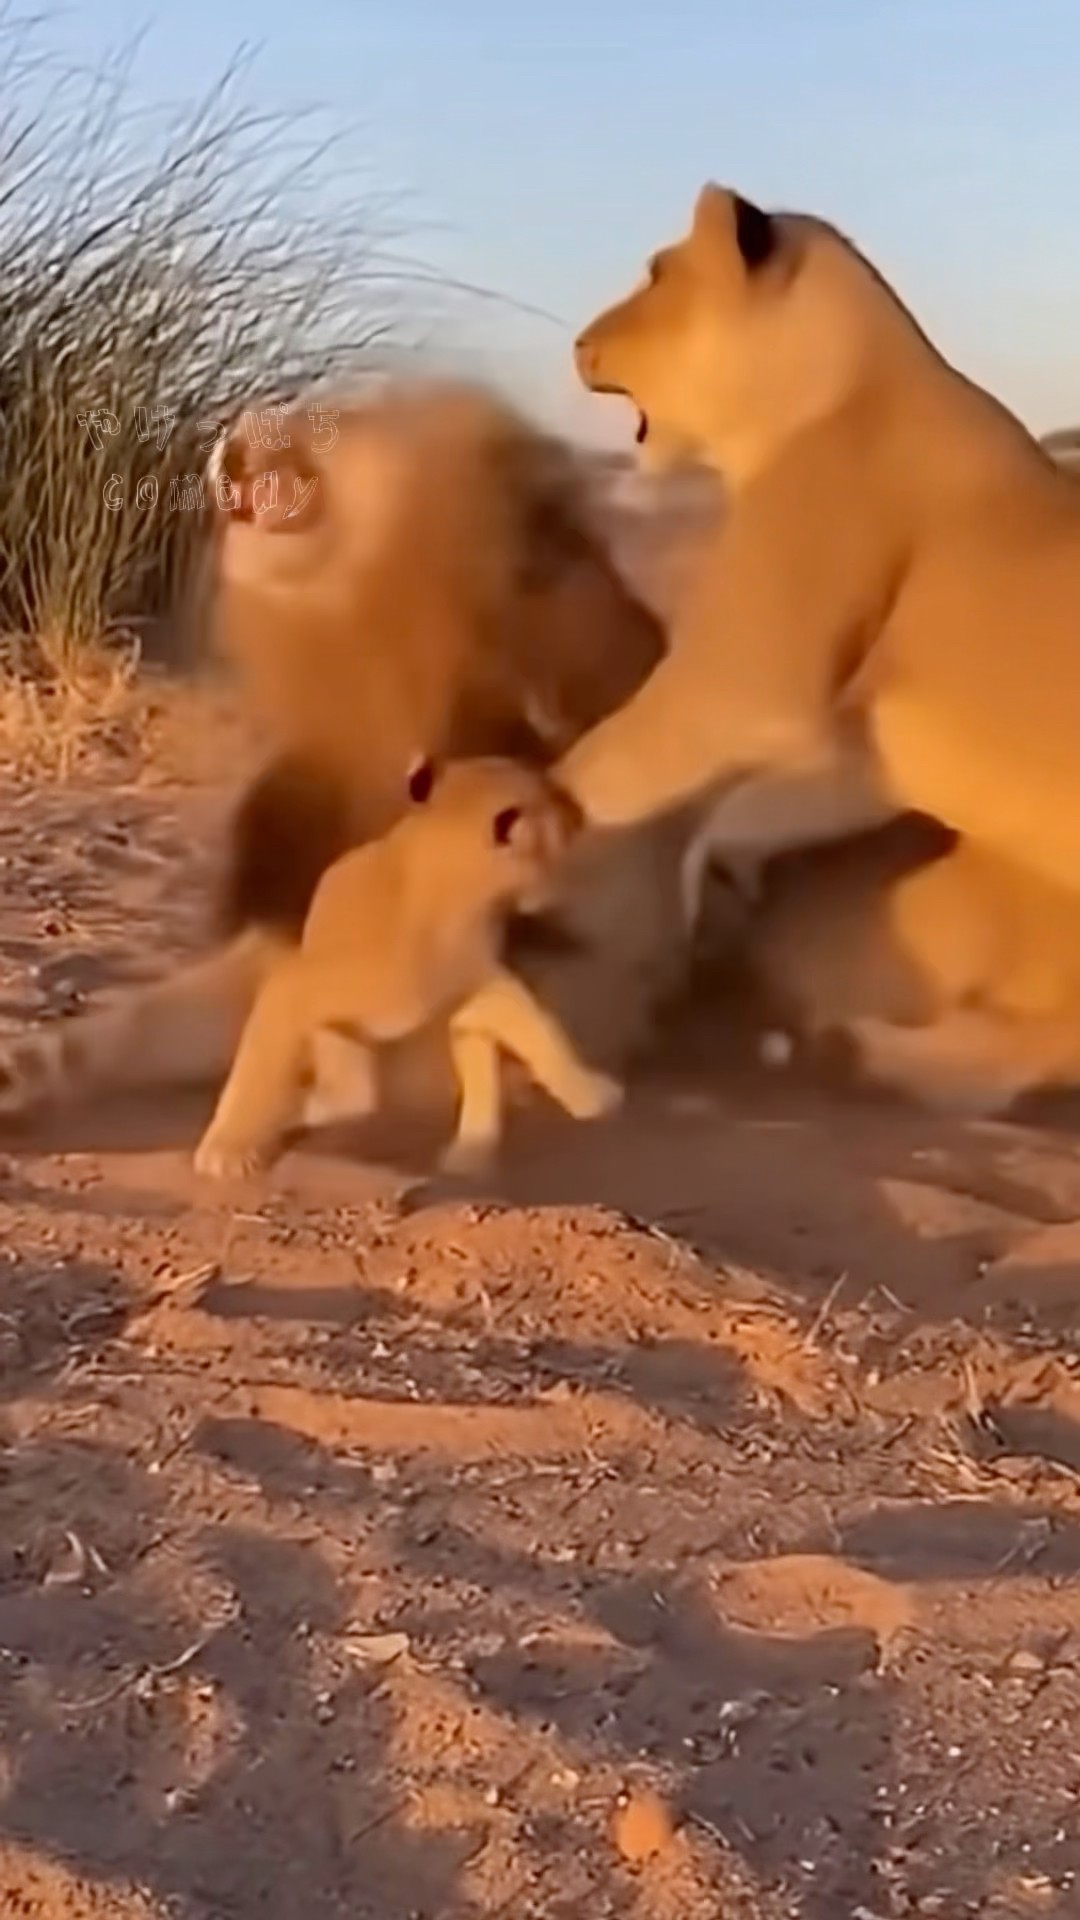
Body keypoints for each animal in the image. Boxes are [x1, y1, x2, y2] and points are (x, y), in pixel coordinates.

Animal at [193, 758, 622, 1179]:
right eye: (559, 839)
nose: (576, 808)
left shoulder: (478, 986)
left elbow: (536, 1029)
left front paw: (589, 1094)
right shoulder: (297, 986)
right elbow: (256, 1069)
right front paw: (226, 1148)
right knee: (351, 1090)